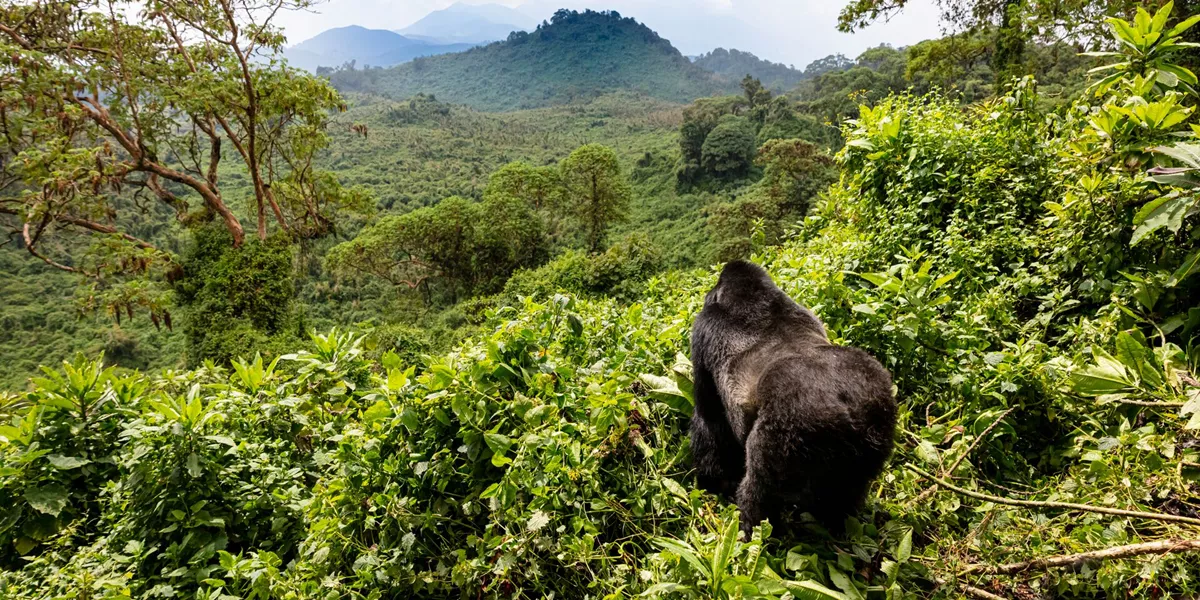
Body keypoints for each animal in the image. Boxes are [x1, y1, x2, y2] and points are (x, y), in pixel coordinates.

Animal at [689, 260, 897, 535]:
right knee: (846, 493)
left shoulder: (703, 328)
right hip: (879, 419)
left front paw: (714, 482)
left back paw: (753, 530)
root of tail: (848, 410)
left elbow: (709, 419)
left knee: (760, 492)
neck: (754, 297)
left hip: (788, 429)